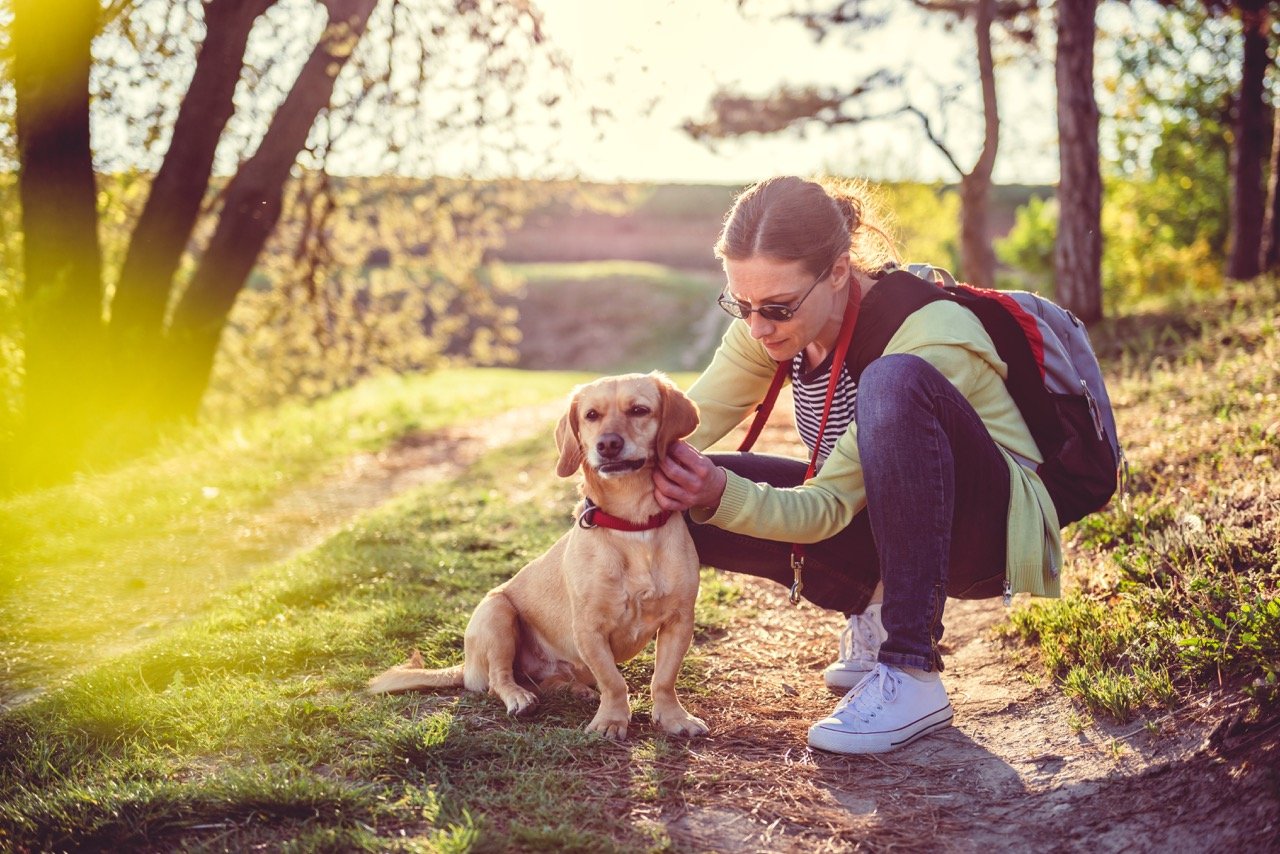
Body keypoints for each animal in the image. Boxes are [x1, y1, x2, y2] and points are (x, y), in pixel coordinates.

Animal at [368, 373, 711, 742]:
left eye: (639, 410)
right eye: (591, 415)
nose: (607, 444)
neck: (631, 526)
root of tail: (466, 666)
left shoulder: (679, 621)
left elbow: (663, 679)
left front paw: (674, 717)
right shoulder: (589, 629)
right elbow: (614, 682)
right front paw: (612, 720)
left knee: (550, 682)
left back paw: (573, 690)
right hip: (497, 612)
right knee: (499, 680)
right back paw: (519, 697)